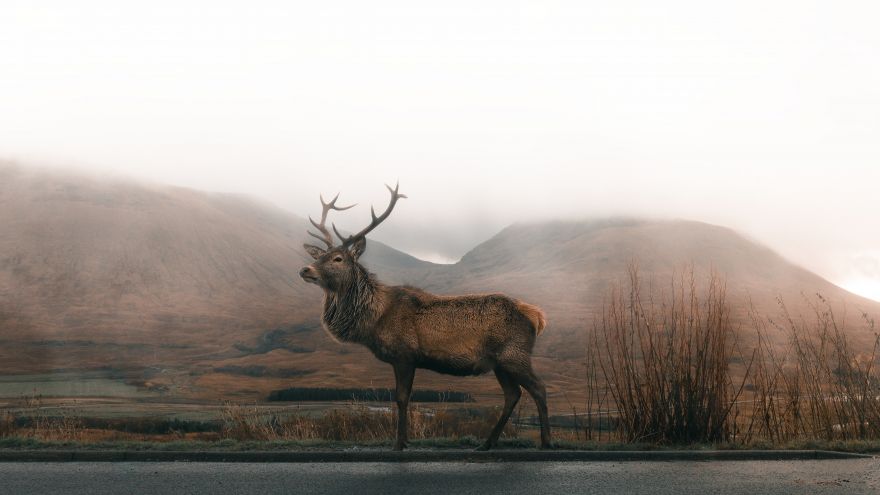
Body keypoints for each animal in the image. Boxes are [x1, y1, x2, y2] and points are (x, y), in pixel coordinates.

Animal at [300, 184, 552, 452]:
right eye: (318, 256)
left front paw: (399, 443)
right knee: (513, 394)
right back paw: (487, 443)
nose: (305, 269)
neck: (374, 320)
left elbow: (401, 398)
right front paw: (405, 439)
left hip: (515, 354)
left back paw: (546, 441)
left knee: (538, 387)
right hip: (499, 363)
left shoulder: (405, 355)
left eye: (338, 258)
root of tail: (536, 316)